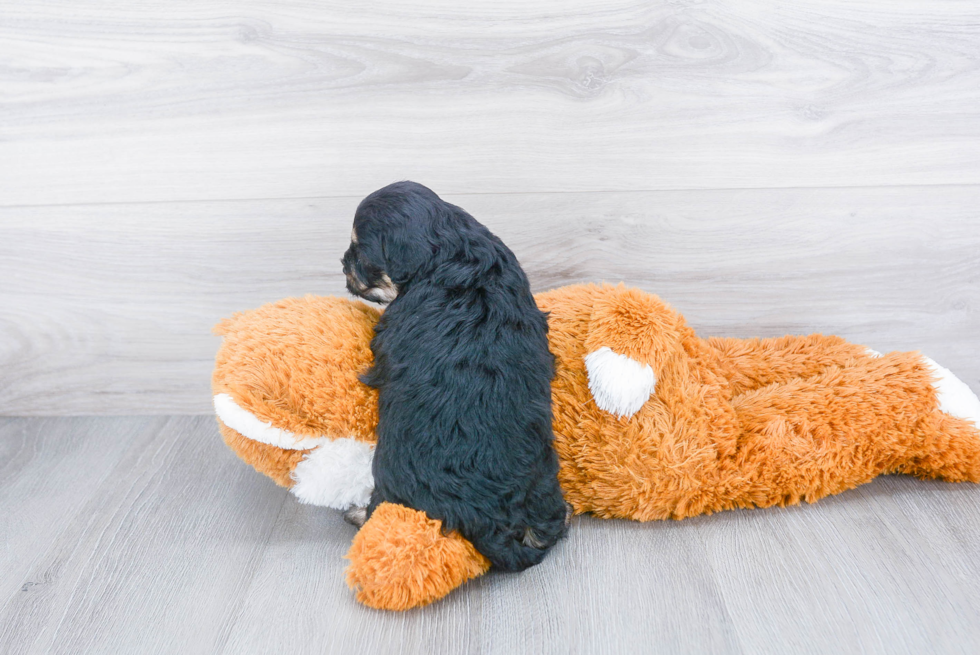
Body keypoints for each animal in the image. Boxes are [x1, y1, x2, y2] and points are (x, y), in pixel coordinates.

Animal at [342, 182, 572, 572]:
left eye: (361, 253)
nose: (343, 261)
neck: (450, 247)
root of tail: (489, 522)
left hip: (392, 472)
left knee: (383, 507)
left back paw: (357, 514)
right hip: (543, 483)